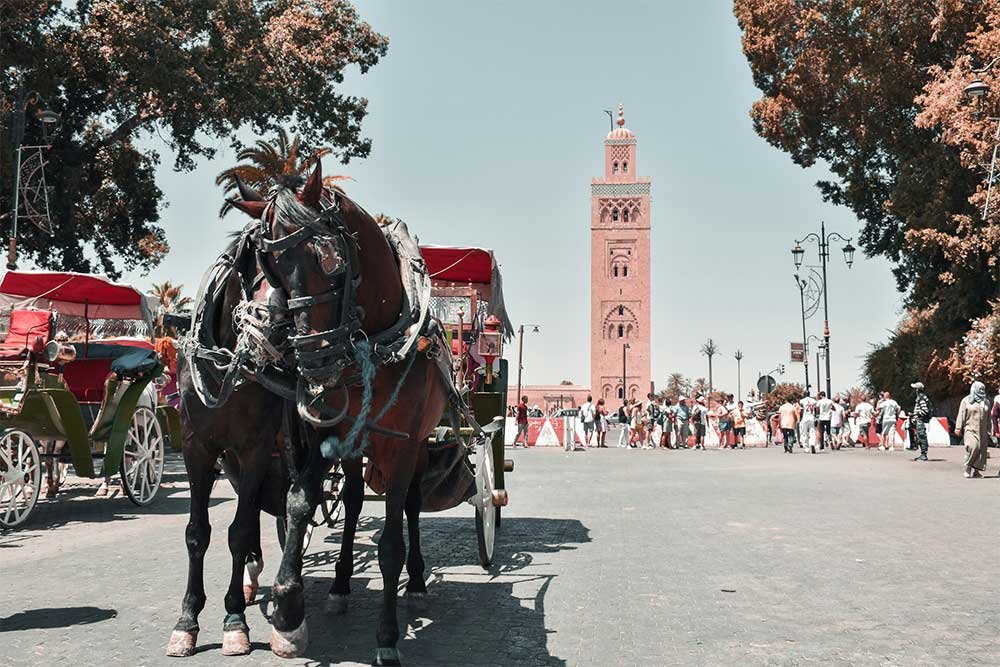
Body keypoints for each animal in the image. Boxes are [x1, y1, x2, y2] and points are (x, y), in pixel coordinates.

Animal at [169, 163, 450, 667]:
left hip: (417, 446)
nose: (309, 356)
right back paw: (330, 585)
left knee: (412, 508)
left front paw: (385, 636)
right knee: (351, 500)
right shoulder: (200, 446)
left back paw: (415, 583)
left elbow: (389, 545)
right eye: (264, 264)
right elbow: (224, 525)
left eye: (331, 259)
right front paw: (267, 610)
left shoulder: (391, 445)